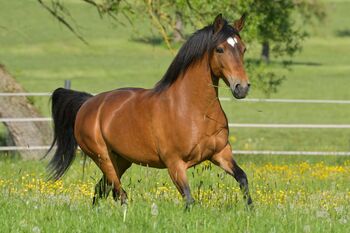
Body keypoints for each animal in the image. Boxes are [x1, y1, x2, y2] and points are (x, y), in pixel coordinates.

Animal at [47, 14, 253, 208]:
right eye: (220, 49)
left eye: (243, 49)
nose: (241, 87)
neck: (194, 111)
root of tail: (88, 103)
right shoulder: (175, 164)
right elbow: (189, 199)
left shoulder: (221, 153)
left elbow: (243, 179)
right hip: (102, 157)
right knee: (119, 193)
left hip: (120, 160)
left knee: (101, 189)